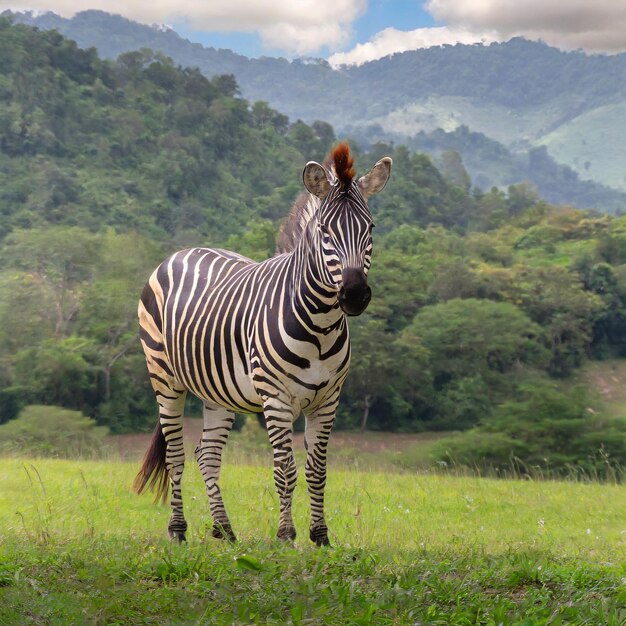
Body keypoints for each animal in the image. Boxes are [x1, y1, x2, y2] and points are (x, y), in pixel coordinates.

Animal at [133, 141, 390, 540]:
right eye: (324, 231)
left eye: (371, 227)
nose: (354, 295)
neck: (320, 323)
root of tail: (183, 251)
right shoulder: (276, 398)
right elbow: (285, 470)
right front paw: (286, 535)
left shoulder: (328, 400)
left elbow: (317, 471)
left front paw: (321, 536)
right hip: (164, 376)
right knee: (176, 455)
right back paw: (178, 529)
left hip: (217, 390)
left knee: (207, 454)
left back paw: (224, 529)